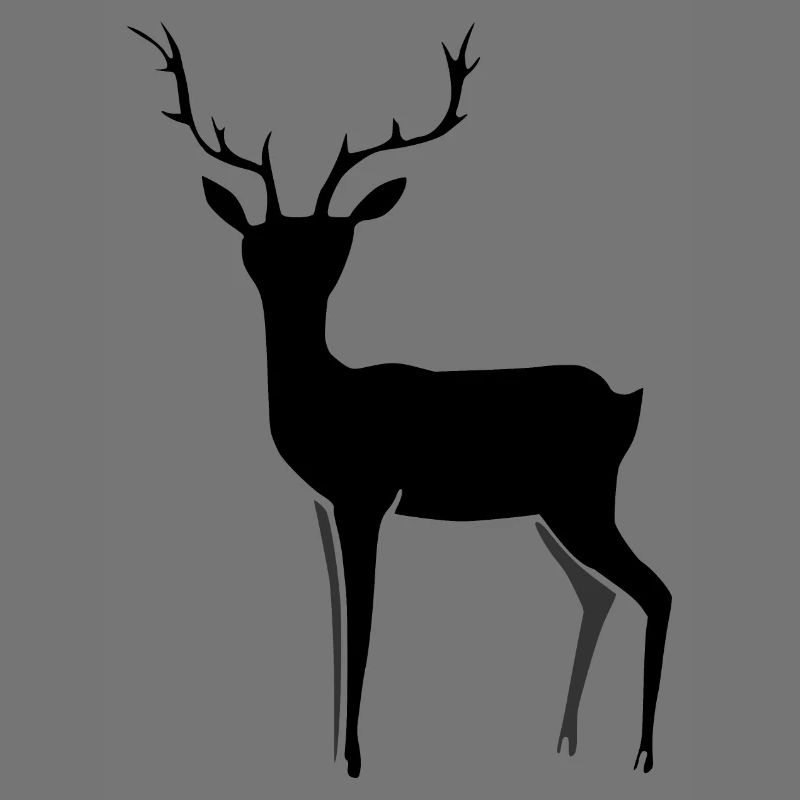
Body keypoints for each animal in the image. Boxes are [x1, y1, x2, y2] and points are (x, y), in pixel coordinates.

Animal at [130, 23, 672, 778]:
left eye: (336, 243)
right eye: (255, 244)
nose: (286, 275)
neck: (331, 402)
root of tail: (628, 401)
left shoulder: (368, 493)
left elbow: (363, 623)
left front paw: (356, 761)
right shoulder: (329, 502)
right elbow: (337, 618)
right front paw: (334, 756)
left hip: (583, 499)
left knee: (656, 590)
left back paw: (643, 755)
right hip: (552, 511)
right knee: (601, 594)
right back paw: (565, 743)